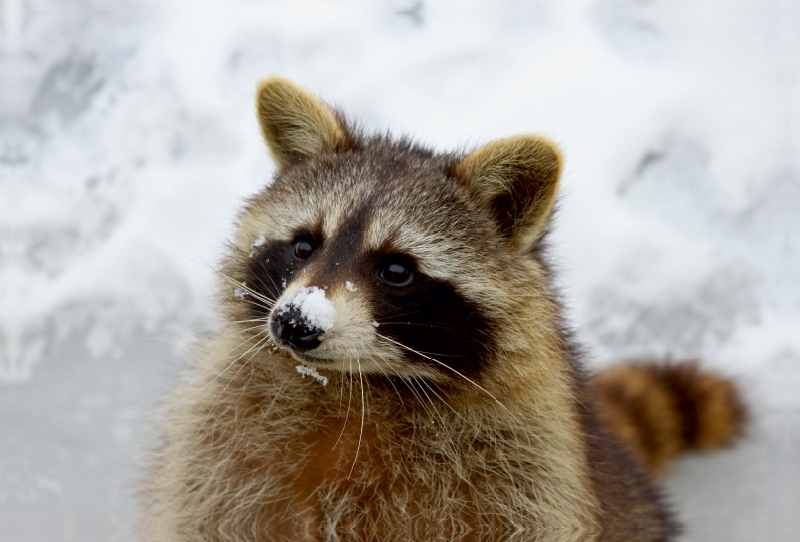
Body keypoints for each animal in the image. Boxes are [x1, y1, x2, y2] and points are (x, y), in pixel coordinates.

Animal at [142, 77, 744, 542]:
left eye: (397, 270)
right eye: (304, 246)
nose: (296, 323)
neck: (360, 386)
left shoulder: (526, 478)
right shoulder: (220, 456)